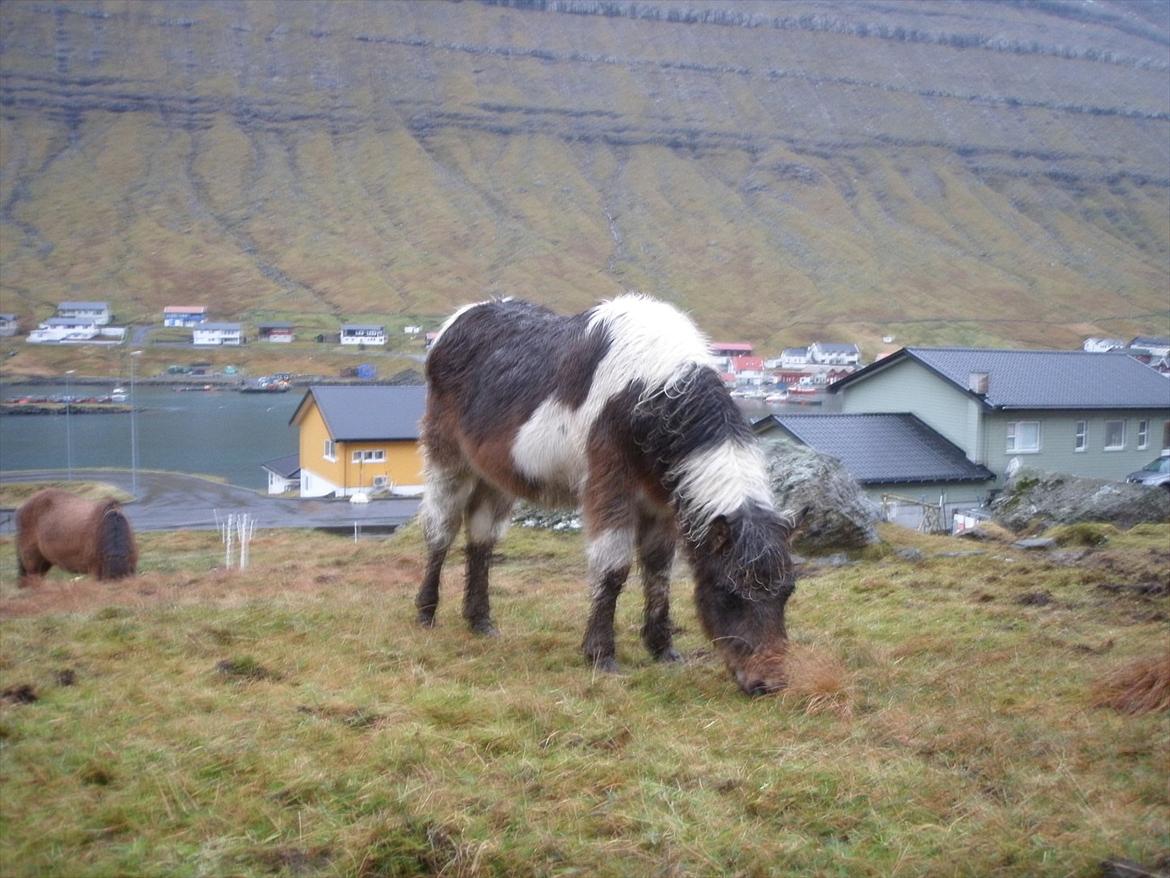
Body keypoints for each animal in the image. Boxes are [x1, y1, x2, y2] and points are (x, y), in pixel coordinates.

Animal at [416, 299, 800, 697]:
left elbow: (658, 571)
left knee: (481, 540)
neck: (653, 389)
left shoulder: (660, 505)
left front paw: (662, 649)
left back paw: (479, 621)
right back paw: (426, 612)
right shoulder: (611, 488)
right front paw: (601, 655)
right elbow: (613, 568)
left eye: (788, 592)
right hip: (449, 462)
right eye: (728, 593)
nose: (768, 684)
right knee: (441, 529)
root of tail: (459, 318)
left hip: (495, 478)